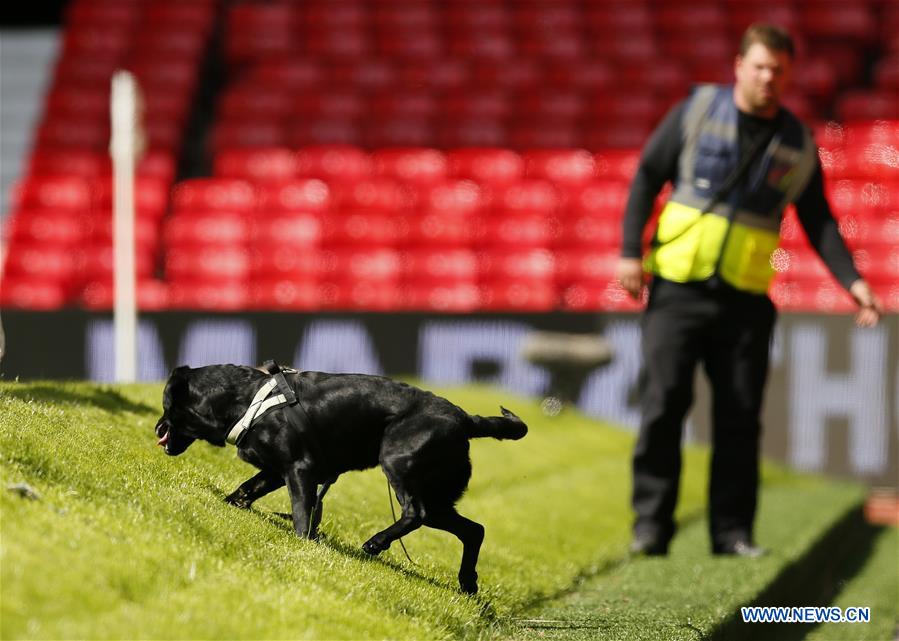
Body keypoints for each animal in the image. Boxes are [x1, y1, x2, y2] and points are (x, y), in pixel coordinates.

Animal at [155, 362, 528, 592]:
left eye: (165, 405)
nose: (157, 428)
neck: (245, 399)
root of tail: (465, 418)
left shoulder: (300, 469)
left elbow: (302, 513)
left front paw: (304, 543)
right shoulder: (276, 470)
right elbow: (248, 487)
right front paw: (231, 503)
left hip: (398, 461)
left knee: (415, 513)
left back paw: (377, 542)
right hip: (440, 497)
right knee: (473, 530)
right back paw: (467, 582)